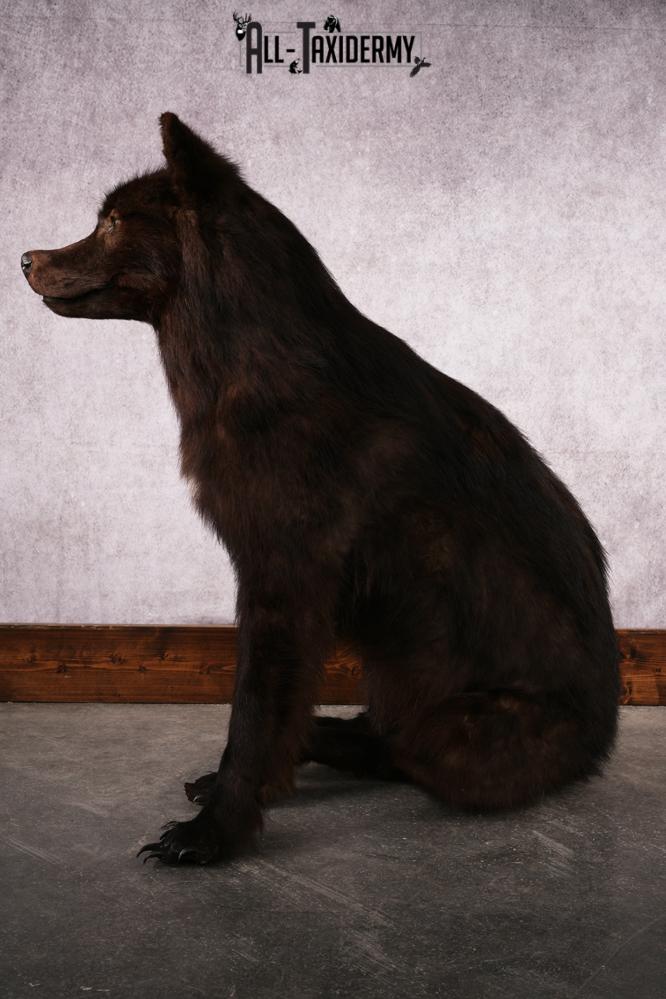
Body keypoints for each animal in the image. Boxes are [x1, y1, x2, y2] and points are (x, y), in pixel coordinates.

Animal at [22, 113, 620, 865]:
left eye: (112, 222)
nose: (25, 258)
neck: (254, 358)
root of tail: (602, 741)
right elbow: (270, 717)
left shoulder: (284, 578)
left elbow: (254, 715)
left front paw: (216, 831)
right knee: (376, 731)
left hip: (454, 730)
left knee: (401, 745)